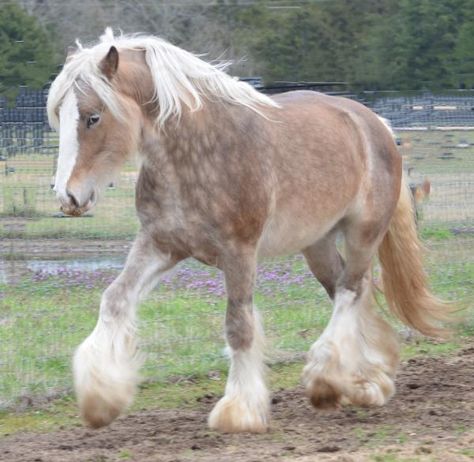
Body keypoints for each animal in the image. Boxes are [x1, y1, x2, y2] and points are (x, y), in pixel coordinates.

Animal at [46, 28, 450, 434]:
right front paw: (100, 399)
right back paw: (365, 383)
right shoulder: (160, 244)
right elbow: (115, 300)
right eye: (60, 116)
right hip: (317, 245)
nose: (68, 197)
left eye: (93, 117)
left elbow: (239, 326)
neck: (198, 154)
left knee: (350, 290)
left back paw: (326, 379)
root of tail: (376, 123)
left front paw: (238, 410)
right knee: (352, 291)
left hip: (363, 233)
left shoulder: (238, 251)